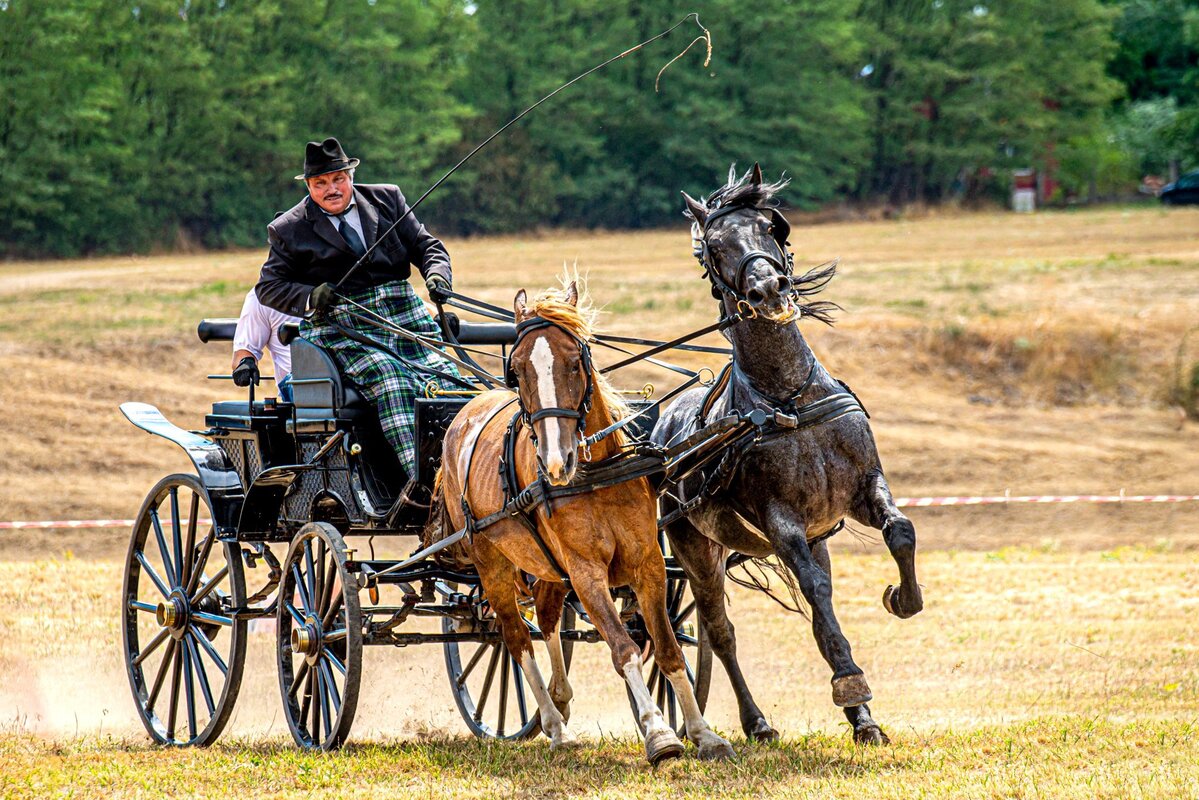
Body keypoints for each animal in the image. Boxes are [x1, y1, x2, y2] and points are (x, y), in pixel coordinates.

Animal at [435, 282, 734, 764]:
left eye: (575, 361)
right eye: (517, 371)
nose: (556, 462)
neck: (596, 475)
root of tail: (463, 413)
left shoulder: (648, 564)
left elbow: (667, 649)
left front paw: (703, 733)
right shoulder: (586, 572)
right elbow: (624, 648)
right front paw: (659, 733)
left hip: (546, 566)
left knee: (547, 619)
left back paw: (559, 702)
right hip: (492, 563)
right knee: (515, 638)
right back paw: (554, 723)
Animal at [651, 165, 924, 745]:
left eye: (772, 227)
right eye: (712, 247)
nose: (769, 289)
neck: (789, 396)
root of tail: (661, 429)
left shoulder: (862, 488)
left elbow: (900, 531)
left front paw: (902, 598)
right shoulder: (780, 521)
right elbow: (815, 592)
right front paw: (849, 680)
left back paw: (861, 721)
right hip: (694, 545)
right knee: (720, 631)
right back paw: (756, 721)